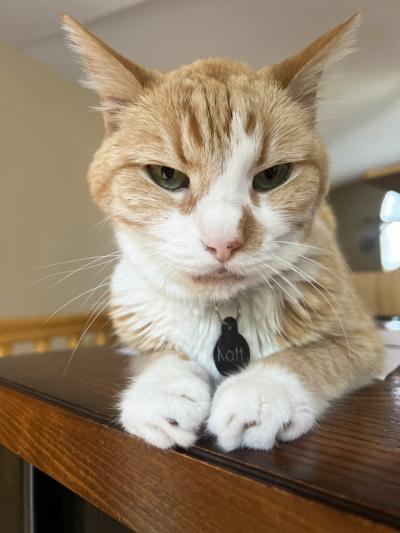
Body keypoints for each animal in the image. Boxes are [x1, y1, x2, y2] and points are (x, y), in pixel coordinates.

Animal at [63, 13, 384, 448]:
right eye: (166, 175)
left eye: (273, 176)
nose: (223, 242)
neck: (220, 313)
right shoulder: (139, 332)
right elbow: (159, 357)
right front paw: (162, 392)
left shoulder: (366, 339)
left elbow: (316, 355)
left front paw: (261, 392)